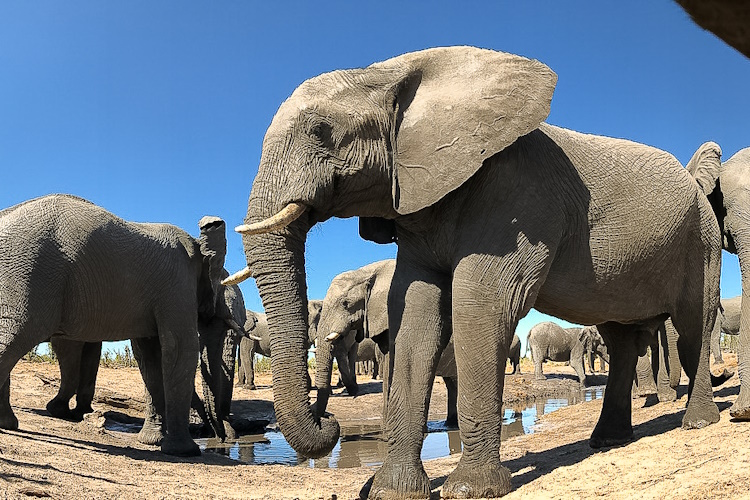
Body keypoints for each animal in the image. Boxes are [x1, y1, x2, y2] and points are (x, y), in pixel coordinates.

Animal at [0, 194, 229, 458]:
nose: (220, 440)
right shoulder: (177, 285)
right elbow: (181, 348)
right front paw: (185, 452)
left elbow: (149, 356)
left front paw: (152, 442)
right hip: (31, 274)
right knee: (20, 334)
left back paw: (8, 423)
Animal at [226, 46, 724, 496]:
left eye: (322, 132)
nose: (328, 420)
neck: (392, 72)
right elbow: (416, 317)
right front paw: (392, 490)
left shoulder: (516, 201)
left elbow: (480, 307)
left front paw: (472, 489)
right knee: (620, 339)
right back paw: (607, 441)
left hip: (701, 239)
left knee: (692, 325)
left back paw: (698, 423)